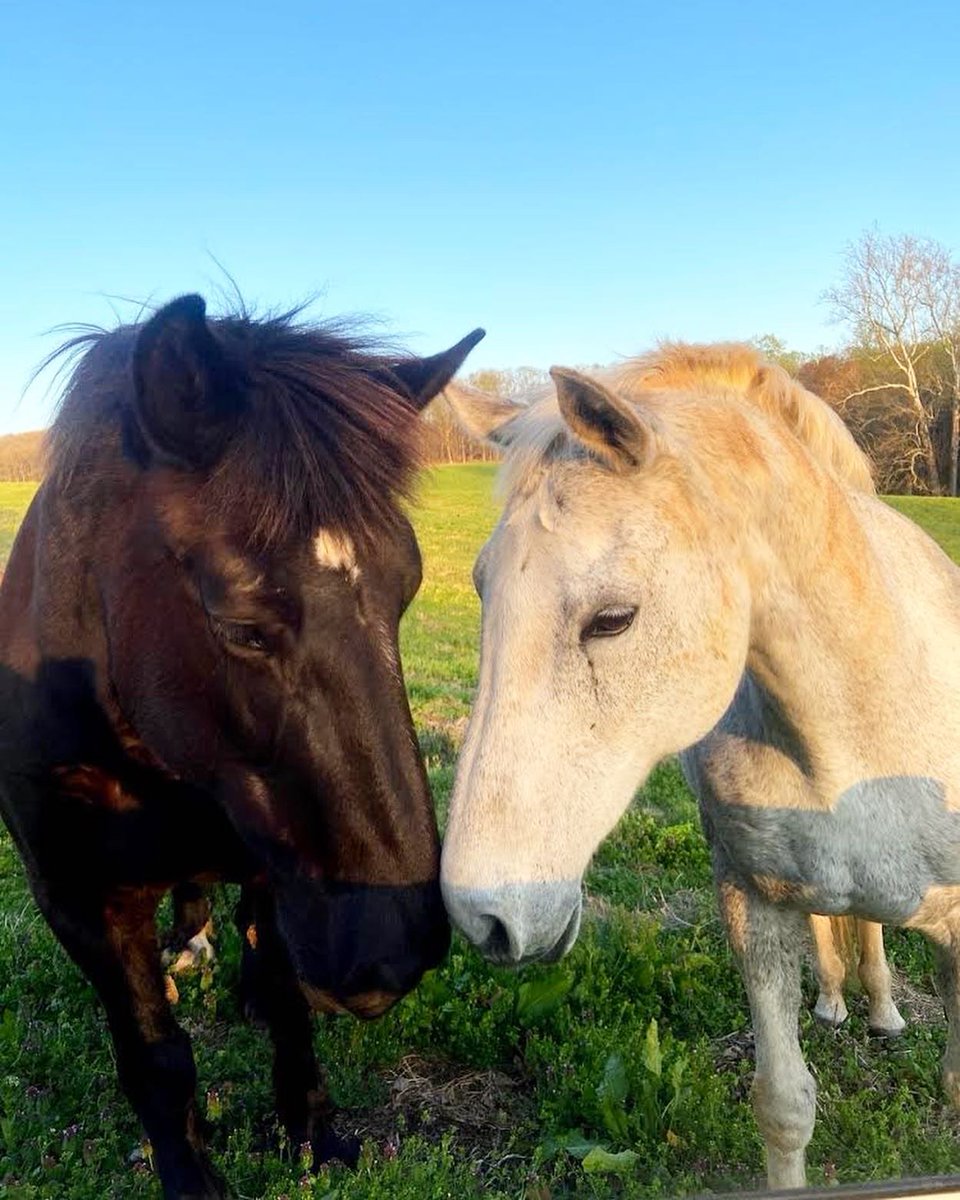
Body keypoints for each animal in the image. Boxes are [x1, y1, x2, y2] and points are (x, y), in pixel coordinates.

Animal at [0, 293, 483, 1199]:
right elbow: (156, 1055)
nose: (395, 947)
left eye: (406, 592)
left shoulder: (275, 865)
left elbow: (290, 1000)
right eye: (242, 627)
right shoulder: (76, 899)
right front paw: (192, 1175)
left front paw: (314, 1133)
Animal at [438, 343, 960, 1190]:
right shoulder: (752, 904)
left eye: (614, 619)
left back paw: (881, 1009)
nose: (482, 915)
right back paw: (836, 1000)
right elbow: (783, 1106)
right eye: (483, 588)